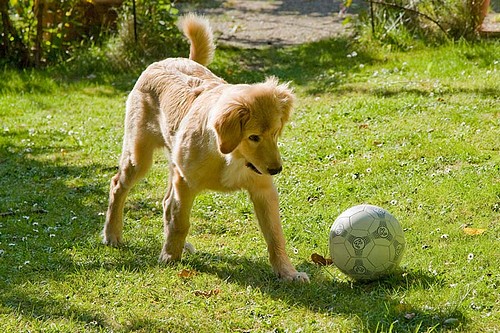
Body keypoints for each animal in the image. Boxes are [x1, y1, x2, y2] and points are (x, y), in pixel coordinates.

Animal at [102, 14, 308, 282]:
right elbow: (181, 221)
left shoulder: (263, 189)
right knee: (118, 185)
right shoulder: (185, 182)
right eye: (253, 137)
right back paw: (112, 235)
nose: (276, 170)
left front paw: (287, 272)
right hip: (139, 156)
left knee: (166, 202)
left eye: (275, 133)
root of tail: (168, 60)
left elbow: (275, 234)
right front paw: (170, 256)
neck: (228, 155)